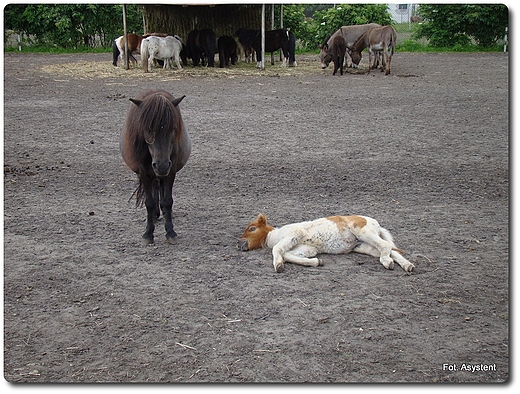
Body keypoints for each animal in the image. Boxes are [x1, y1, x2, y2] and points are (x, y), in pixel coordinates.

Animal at [121, 89, 192, 243]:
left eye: (173, 128)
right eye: (148, 129)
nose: (162, 165)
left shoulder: (171, 170)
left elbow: (167, 200)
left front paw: (170, 231)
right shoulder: (144, 172)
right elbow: (149, 202)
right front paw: (148, 233)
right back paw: (155, 214)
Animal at [240, 212, 414, 274]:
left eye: (252, 228)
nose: (238, 243)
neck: (276, 235)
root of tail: (375, 224)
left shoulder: (294, 234)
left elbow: (277, 249)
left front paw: (278, 265)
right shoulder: (306, 248)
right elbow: (289, 255)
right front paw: (317, 262)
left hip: (364, 233)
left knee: (386, 247)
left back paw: (388, 263)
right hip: (363, 246)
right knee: (391, 251)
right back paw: (407, 266)